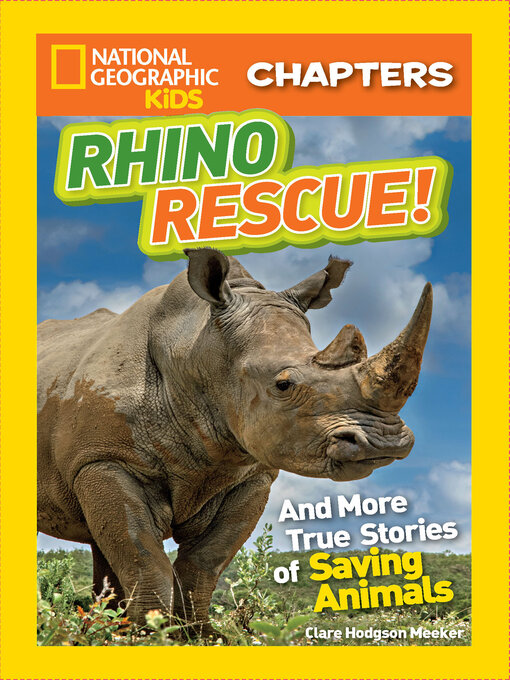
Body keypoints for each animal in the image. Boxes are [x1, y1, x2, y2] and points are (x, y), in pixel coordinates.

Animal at [37, 248, 432, 637]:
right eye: (283, 385)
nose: (383, 442)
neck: (197, 350)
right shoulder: (103, 460)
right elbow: (142, 553)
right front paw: (150, 635)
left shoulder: (251, 474)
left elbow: (206, 560)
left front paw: (199, 635)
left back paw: (102, 626)